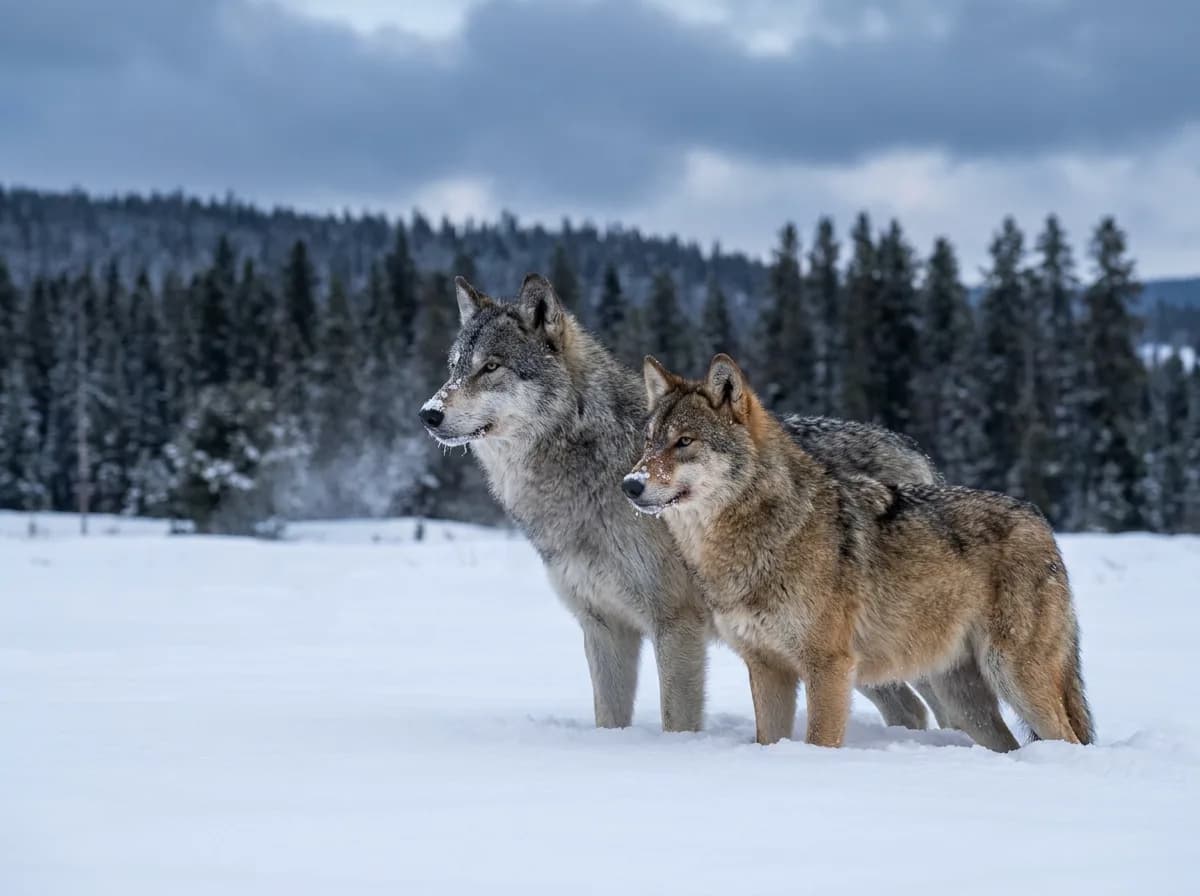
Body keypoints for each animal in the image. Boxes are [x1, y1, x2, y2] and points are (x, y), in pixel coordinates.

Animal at [417, 273, 1005, 739]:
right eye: (453, 367)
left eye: (492, 367)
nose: (428, 413)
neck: (590, 472)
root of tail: (918, 457)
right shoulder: (604, 627)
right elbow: (610, 719)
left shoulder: (675, 626)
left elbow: (677, 719)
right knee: (911, 710)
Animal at [625, 353, 1094, 750]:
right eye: (648, 442)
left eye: (685, 442)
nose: (630, 484)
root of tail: (1039, 521)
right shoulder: (766, 667)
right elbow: (768, 739)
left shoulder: (828, 667)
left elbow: (819, 740)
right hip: (964, 698)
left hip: (1014, 678)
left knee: (1068, 739)